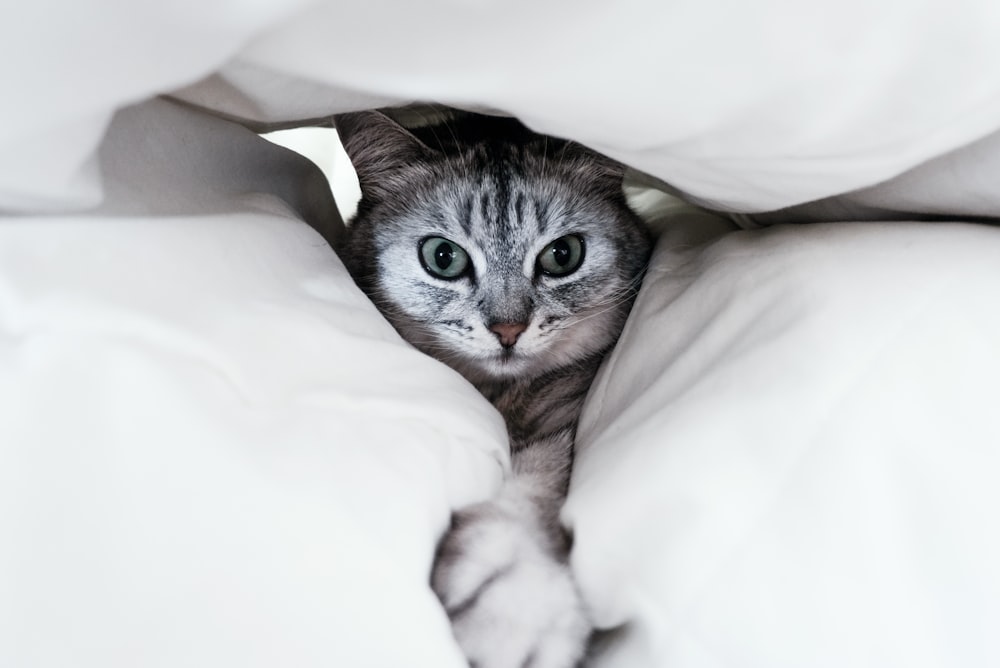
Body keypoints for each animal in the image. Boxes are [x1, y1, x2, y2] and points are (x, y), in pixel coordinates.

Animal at [332, 109, 652, 668]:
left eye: (563, 254)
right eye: (443, 257)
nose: (508, 329)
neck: (501, 397)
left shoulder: (562, 425)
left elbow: (531, 488)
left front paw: (514, 608)